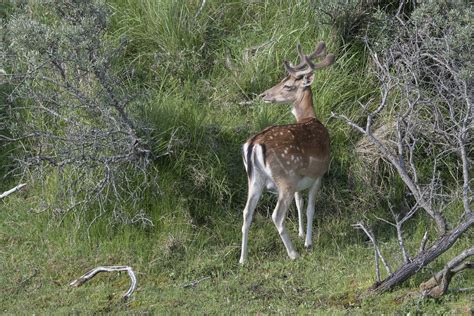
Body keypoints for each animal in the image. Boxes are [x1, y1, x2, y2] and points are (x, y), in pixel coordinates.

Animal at [239, 41, 336, 264]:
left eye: (287, 85)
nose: (264, 95)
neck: (310, 118)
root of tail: (254, 144)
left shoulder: (301, 179)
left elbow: (300, 204)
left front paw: (301, 234)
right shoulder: (319, 174)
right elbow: (310, 208)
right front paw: (308, 242)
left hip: (254, 180)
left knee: (246, 213)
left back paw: (243, 259)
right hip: (285, 179)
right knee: (277, 215)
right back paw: (293, 253)